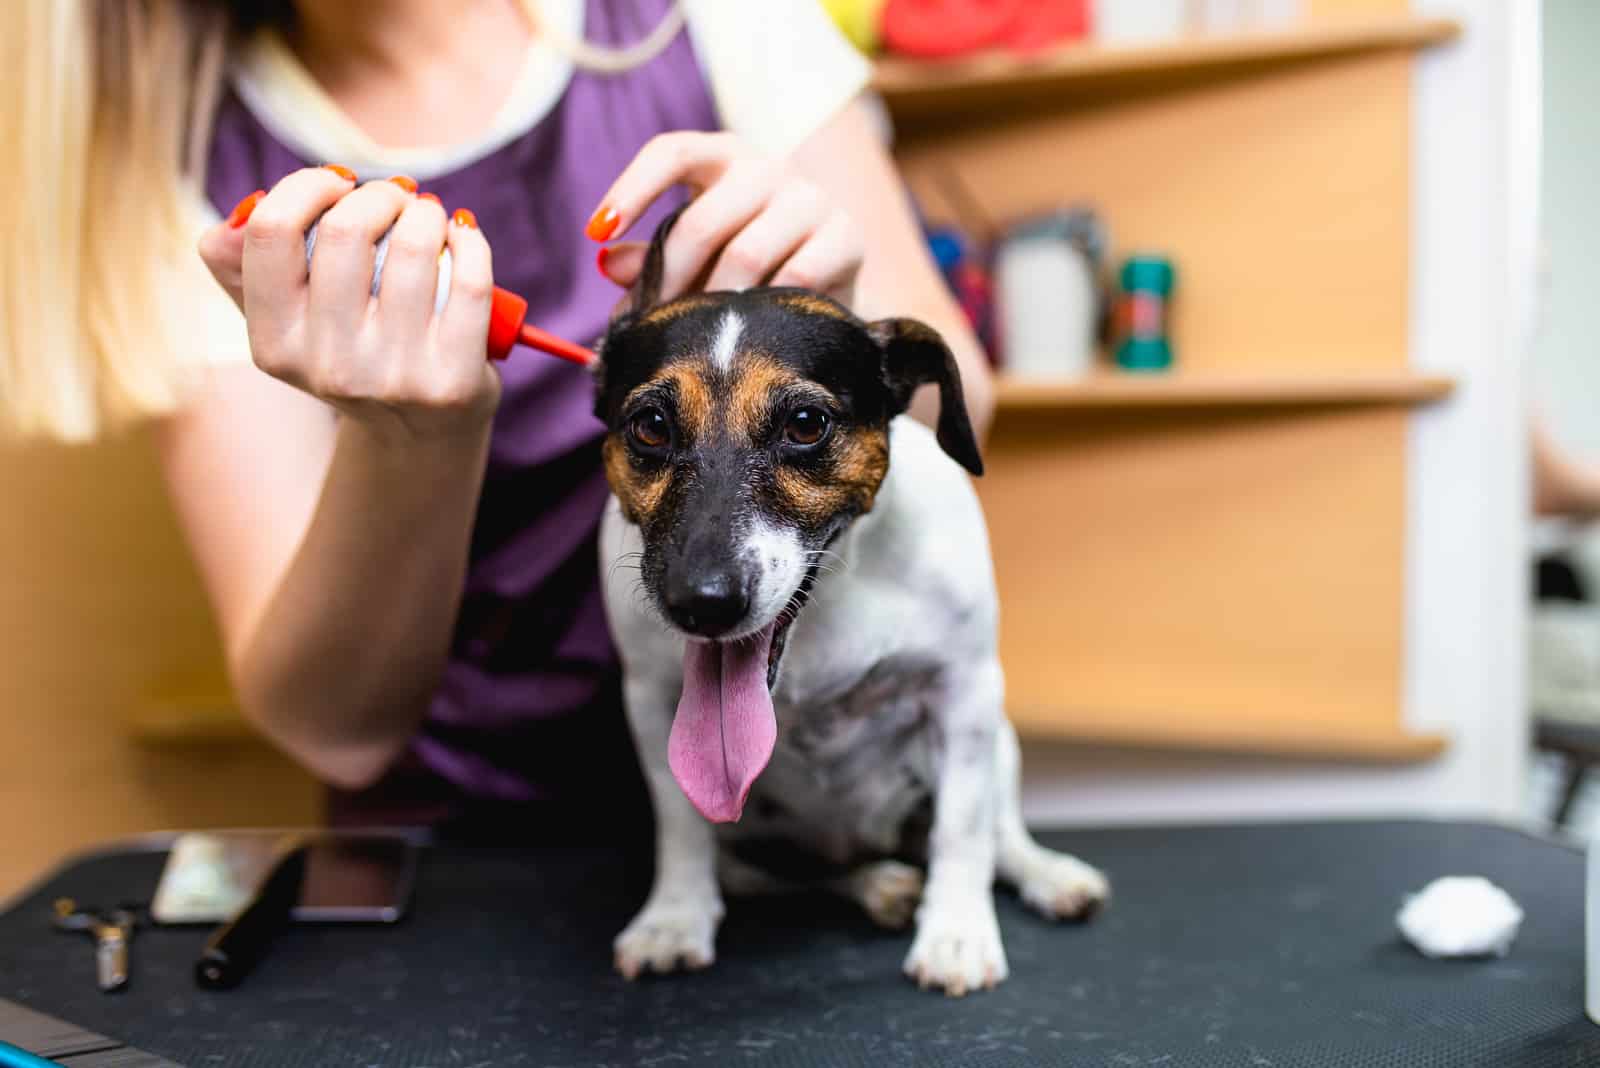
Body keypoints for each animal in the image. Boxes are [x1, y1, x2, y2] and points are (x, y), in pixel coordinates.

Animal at [595, 212, 1107, 997]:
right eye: (649, 426)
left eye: (806, 423)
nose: (701, 602)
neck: (826, 603)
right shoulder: (652, 708)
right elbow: (681, 825)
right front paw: (674, 919)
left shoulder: (964, 692)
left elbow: (963, 828)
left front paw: (956, 934)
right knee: (790, 873)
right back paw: (878, 885)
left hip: (1002, 740)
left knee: (999, 832)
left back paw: (1045, 874)